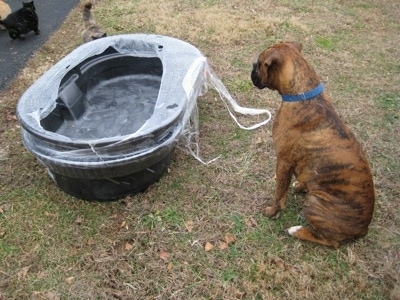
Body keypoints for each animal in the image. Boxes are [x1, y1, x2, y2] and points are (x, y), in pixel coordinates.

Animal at [250, 42, 376, 248]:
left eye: (260, 64)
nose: (252, 66)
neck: (303, 95)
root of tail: (363, 228)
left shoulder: (283, 162)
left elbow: (279, 194)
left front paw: (272, 212)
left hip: (314, 203)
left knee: (330, 241)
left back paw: (296, 230)